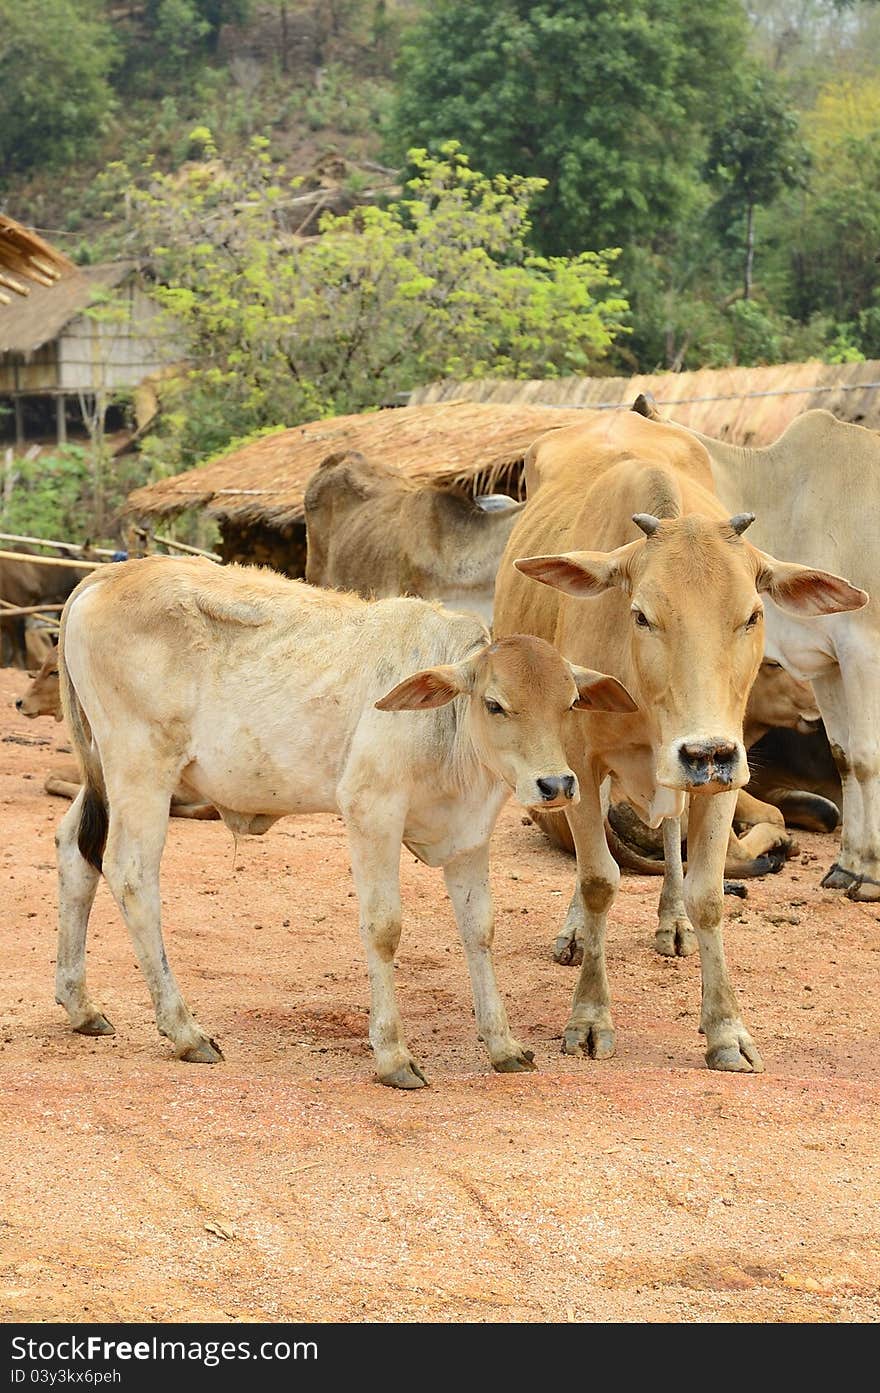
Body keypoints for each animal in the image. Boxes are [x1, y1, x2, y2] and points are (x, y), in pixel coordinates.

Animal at [55, 557, 634, 1086]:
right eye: (494, 704)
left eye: (571, 703)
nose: (556, 785)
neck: (446, 730)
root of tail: (107, 575)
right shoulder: (371, 813)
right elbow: (384, 929)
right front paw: (393, 1055)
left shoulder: (469, 839)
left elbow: (479, 931)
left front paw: (502, 1044)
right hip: (141, 771)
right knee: (130, 875)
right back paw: (184, 1031)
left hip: (106, 771)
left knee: (75, 850)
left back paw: (80, 1005)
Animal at [495, 406, 868, 1069]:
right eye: (642, 614)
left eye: (752, 615)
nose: (702, 751)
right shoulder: (582, 765)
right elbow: (597, 881)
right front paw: (588, 1016)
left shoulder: (724, 767)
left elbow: (709, 892)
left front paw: (725, 1029)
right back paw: (576, 932)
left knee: (671, 832)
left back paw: (671, 922)